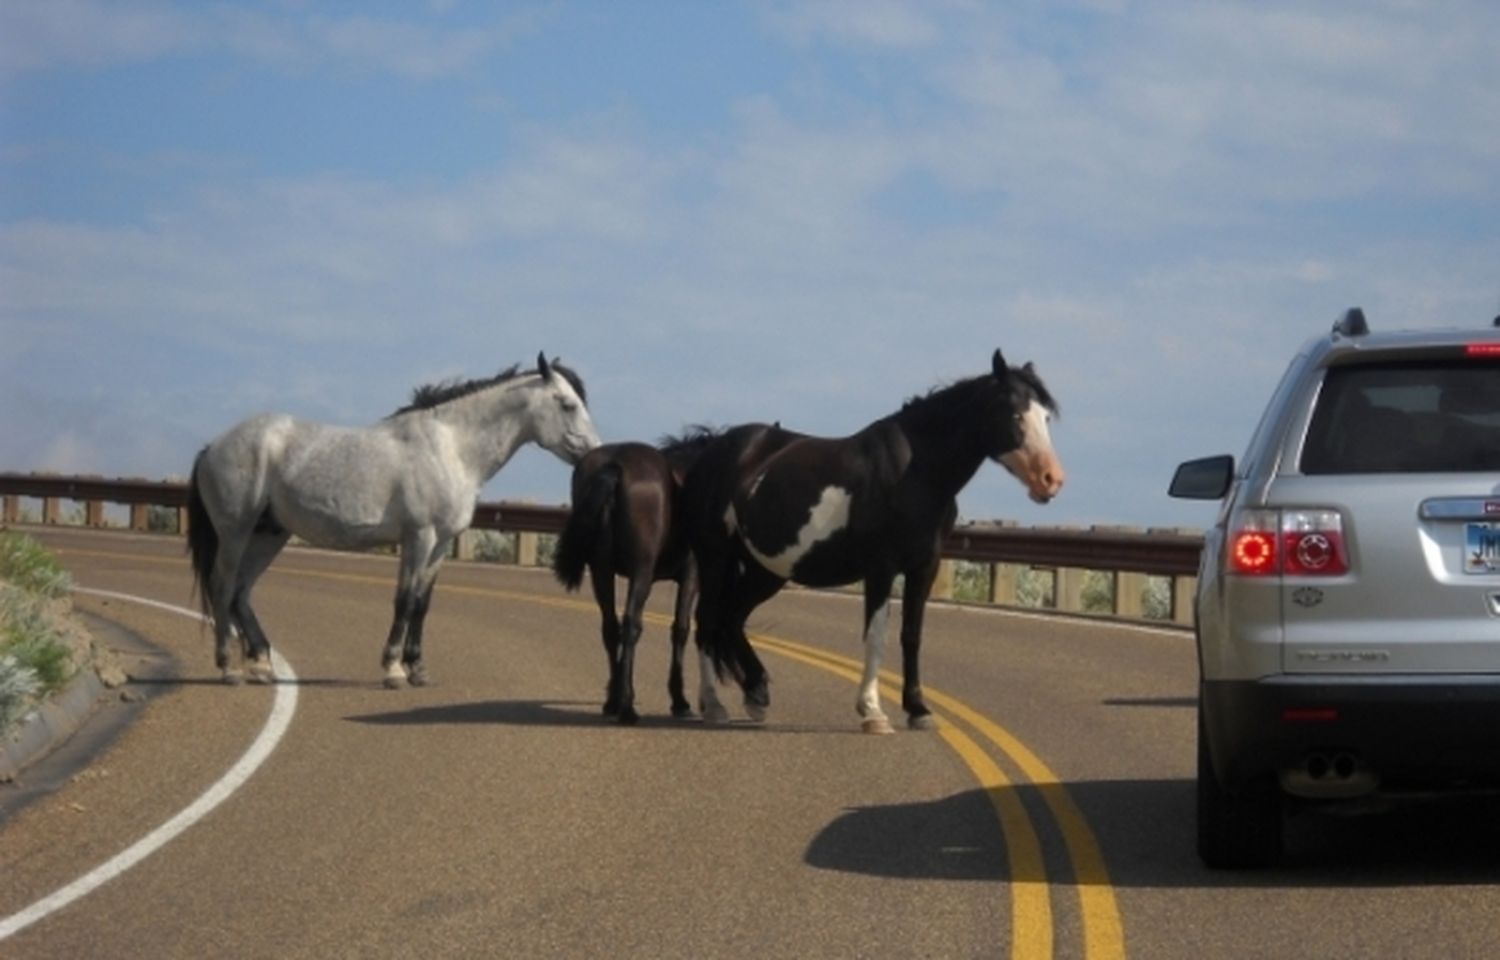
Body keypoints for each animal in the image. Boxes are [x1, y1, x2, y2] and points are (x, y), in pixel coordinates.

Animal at [190, 352, 600, 684]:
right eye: (567, 404)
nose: (594, 453)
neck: (450, 448)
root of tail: (212, 446)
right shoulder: (419, 537)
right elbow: (404, 600)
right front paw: (393, 669)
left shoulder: (441, 544)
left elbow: (422, 602)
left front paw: (418, 669)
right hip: (236, 531)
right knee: (223, 586)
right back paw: (229, 667)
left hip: (269, 535)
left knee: (241, 592)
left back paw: (261, 664)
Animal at [552, 426, 720, 720]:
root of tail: (614, 466)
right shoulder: (691, 577)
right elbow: (681, 629)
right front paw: (679, 700)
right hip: (642, 572)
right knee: (630, 624)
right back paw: (627, 707)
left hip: (601, 570)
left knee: (610, 627)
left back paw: (613, 702)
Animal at [687, 348, 1062, 732]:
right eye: (1015, 413)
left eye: (1046, 416)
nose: (1051, 479)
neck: (916, 474)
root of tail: (713, 446)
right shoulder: (881, 568)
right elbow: (876, 635)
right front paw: (872, 711)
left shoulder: (924, 566)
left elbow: (911, 634)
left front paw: (918, 709)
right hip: (715, 556)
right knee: (708, 621)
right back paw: (714, 704)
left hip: (766, 569)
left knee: (732, 618)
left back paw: (757, 693)